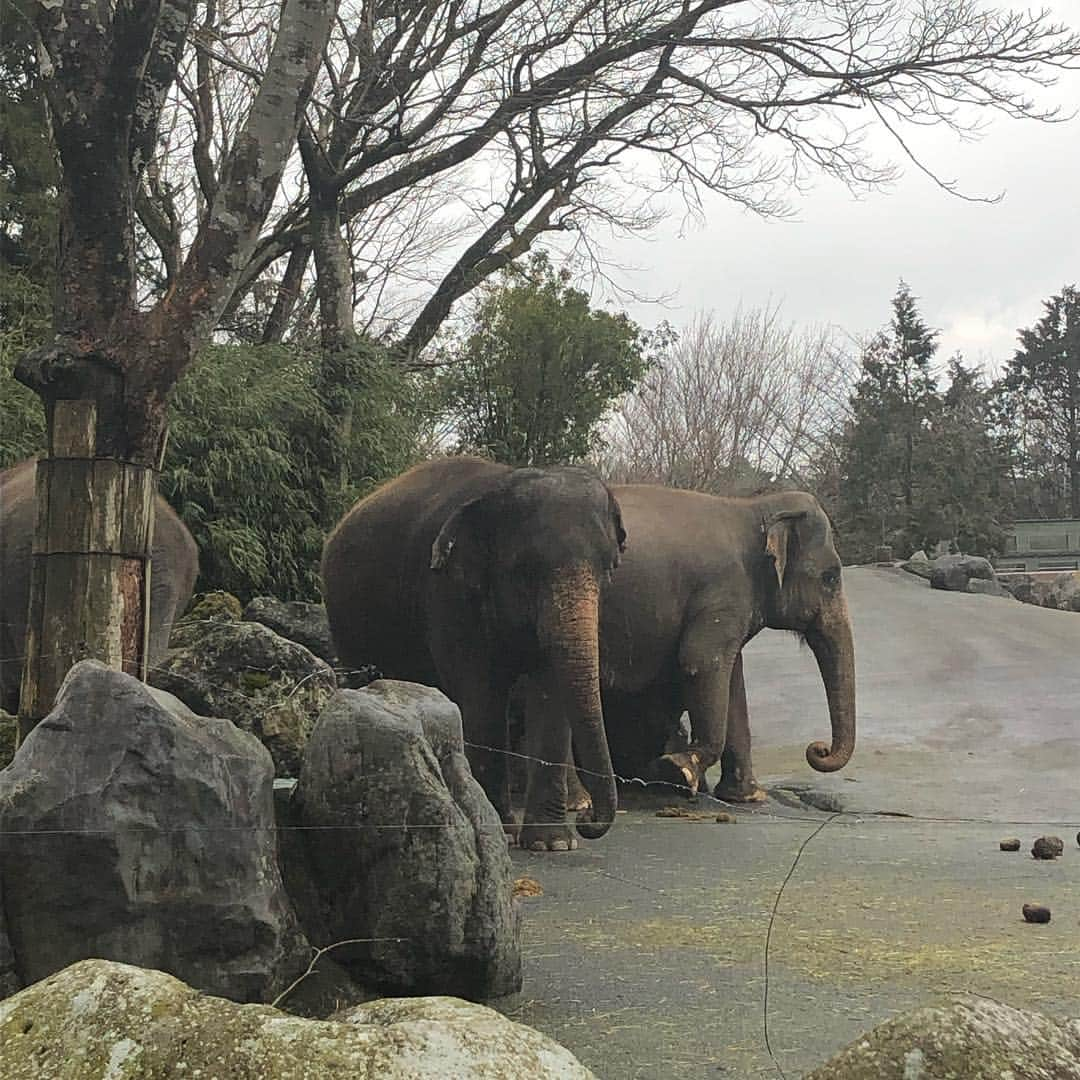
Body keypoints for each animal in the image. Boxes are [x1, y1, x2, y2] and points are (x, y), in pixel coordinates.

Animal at [319, 455, 626, 851]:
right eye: (526, 570)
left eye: (608, 567)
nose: (588, 821)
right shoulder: (447, 592)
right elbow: (483, 694)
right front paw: (504, 833)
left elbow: (550, 694)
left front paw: (552, 844)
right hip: (347, 621)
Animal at [596, 486, 855, 799]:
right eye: (831, 578)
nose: (819, 748)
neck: (755, 508)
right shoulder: (722, 592)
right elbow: (703, 661)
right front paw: (680, 770)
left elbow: (733, 679)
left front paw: (745, 796)